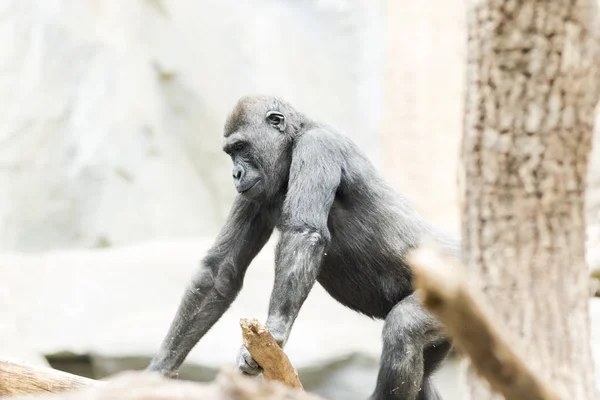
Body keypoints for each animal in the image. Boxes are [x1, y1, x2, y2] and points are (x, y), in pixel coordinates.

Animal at [148, 94, 458, 400]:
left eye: (241, 147)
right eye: (230, 152)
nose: (235, 173)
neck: (295, 138)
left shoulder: (317, 146)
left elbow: (303, 232)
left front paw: (275, 329)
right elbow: (220, 270)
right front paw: (160, 369)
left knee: (404, 328)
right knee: (423, 374)